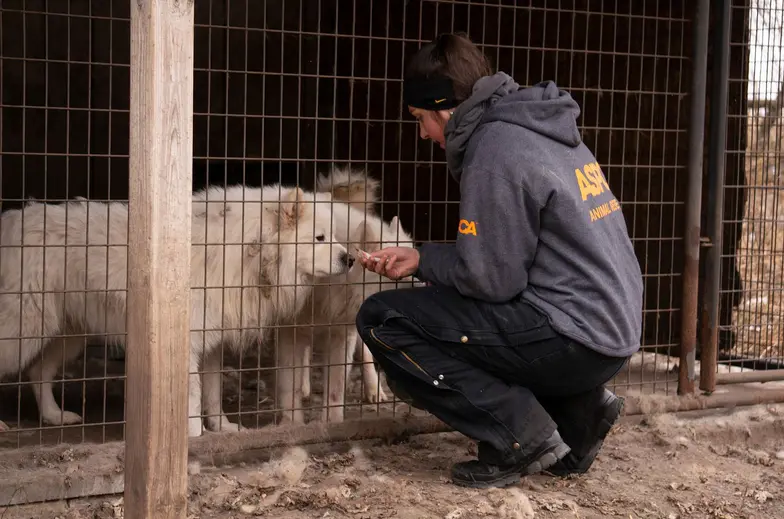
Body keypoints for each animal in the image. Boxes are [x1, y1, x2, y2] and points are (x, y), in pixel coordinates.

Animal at [0, 185, 350, 436]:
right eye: (319, 238)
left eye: (335, 236)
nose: (349, 258)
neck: (250, 249)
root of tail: (11, 223)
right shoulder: (188, 346)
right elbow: (194, 396)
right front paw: (194, 436)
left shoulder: (211, 345)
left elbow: (212, 394)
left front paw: (222, 428)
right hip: (24, 328)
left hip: (66, 334)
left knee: (38, 372)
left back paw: (54, 416)